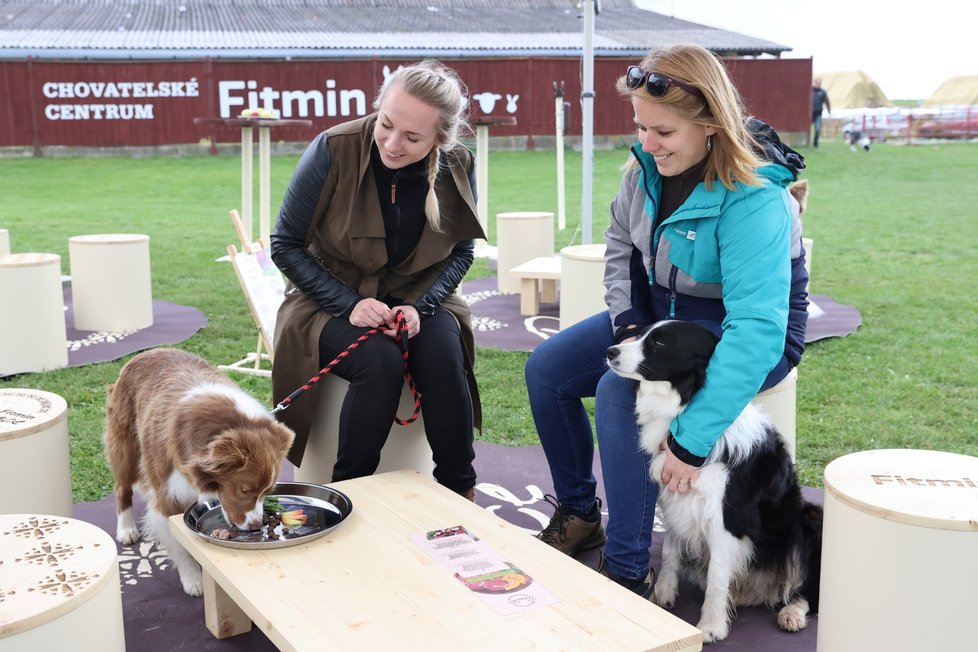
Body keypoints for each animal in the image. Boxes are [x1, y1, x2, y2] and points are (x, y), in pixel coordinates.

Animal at [105, 348, 294, 592]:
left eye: (267, 492)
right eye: (244, 490)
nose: (254, 527)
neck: (229, 426)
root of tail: (149, 352)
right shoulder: (168, 495)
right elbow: (179, 543)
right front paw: (193, 579)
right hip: (125, 446)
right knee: (123, 487)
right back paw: (126, 529)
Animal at [608, 320, 820, 640]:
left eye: (659, 343)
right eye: (642, 332)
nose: (610, 351)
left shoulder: (725, 520)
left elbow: (718, 575)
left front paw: (710, 627)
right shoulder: (676, 498)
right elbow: (670, 551)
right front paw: (661, 596)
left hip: (809, 520)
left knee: (806, 591)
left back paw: (791, 613)